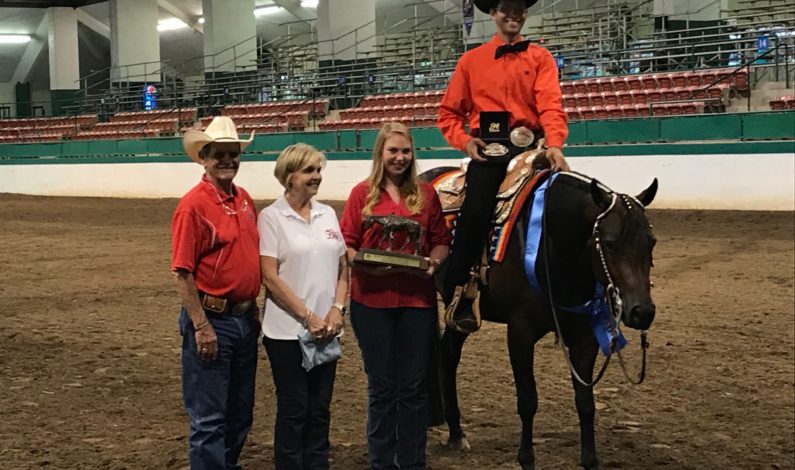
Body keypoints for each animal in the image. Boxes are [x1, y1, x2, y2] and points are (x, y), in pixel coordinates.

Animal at [422, 166, 660, 470]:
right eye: (609, 243)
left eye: (651, 242)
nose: (642, 312)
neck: (552, 244)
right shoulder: (520, 332)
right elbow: (528, 400)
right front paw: (526, 459)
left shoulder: (585, 337)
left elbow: (585, 402)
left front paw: (590, 460)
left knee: (448, 354)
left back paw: (455, 433)